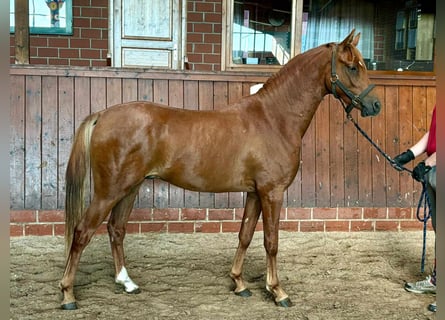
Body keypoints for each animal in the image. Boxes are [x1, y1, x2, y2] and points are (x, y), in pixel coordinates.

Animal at [58, 30, 378, 310]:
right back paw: (67, 294)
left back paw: (127, 283)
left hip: (130, 188)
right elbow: (271, 241)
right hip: (109, 190)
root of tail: (103, 115)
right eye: (352, 67)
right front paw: (277, 291)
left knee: (116, 229)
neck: (273, 119)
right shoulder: (272, 193)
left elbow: (245, 235)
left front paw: (239, 283)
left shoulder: (255, 193)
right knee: (82, 232)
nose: (375, 106)